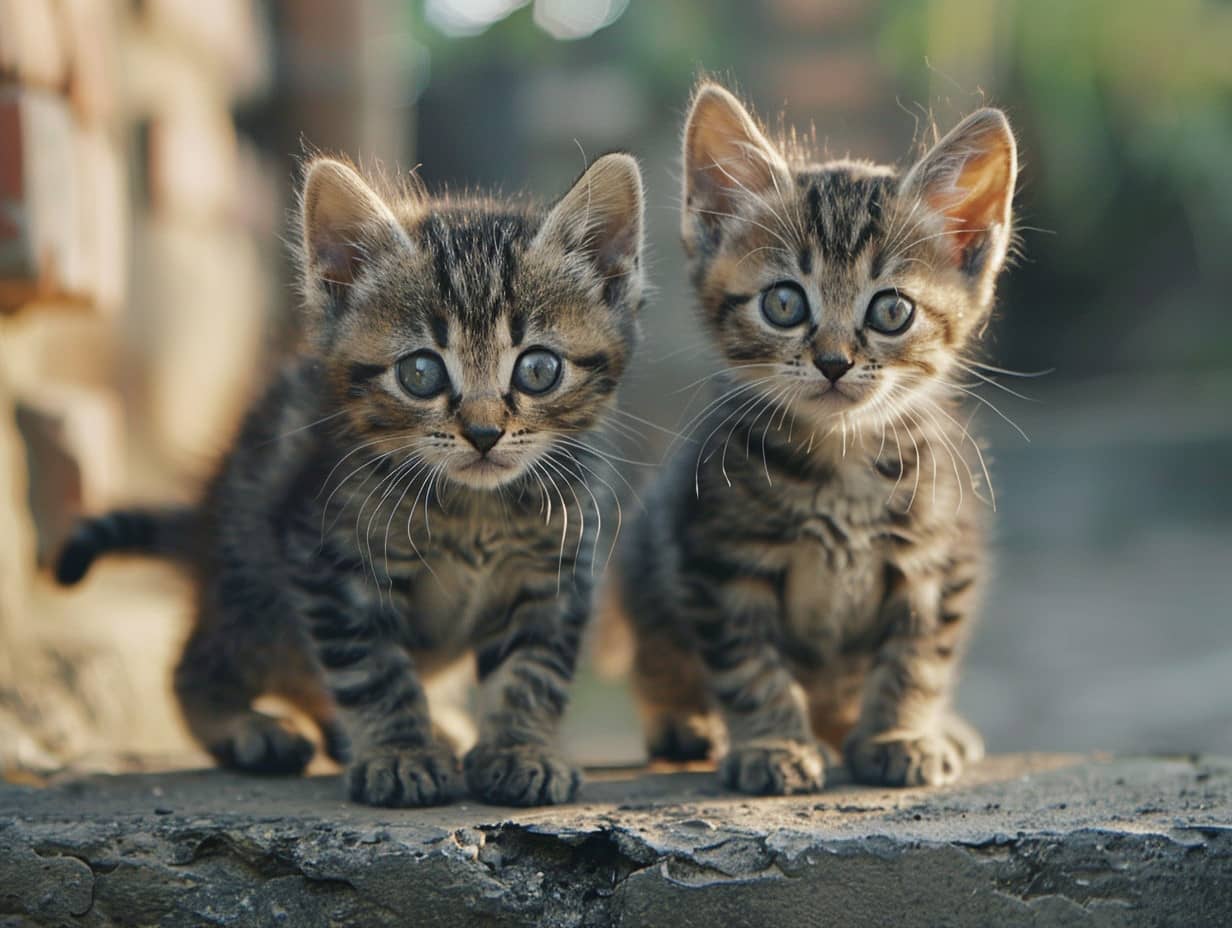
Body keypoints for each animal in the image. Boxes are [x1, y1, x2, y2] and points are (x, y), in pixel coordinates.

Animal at [58, 152, 650, 803]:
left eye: (539, 369)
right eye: (420, 372)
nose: (483, 432)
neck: (474, 510)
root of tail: (205, 527)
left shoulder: (557, 570)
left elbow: (534, 669)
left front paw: (521, 750)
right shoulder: (328, 560)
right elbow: (373, 670)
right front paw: (400, 754)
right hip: (255, 593)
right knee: (199, 665)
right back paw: (249, 729)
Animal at [613, 83, 1010, 793]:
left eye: (891, 310)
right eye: (784, 304)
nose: (832, 362)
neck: (841, 464)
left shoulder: (940, 558)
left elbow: (918, 659)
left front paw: (900, 734)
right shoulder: (717, 556)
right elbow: (750, 668)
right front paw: (773, 745)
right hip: (642, 556)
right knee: (657, 656)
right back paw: (685, 723)